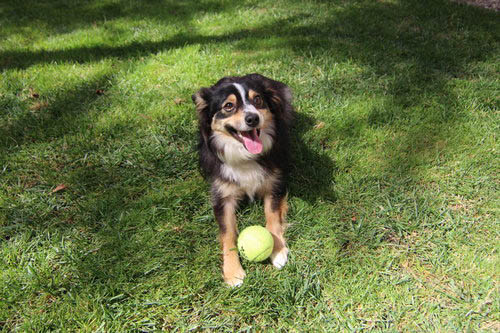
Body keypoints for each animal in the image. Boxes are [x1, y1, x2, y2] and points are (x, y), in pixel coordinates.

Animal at [191, 72, 292, 286]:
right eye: (228, 106)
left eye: (258, 99)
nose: (253, 118)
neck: (244, 156)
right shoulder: (223, 196)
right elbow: (228, 233)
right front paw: (232, 272)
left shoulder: (274, 185)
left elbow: (272, 217)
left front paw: (278, 251)